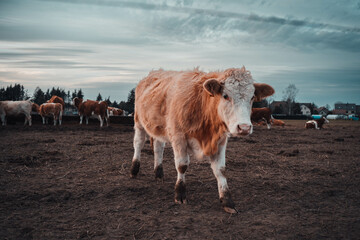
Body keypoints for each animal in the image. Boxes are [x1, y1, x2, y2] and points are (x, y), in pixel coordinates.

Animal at [131, 66, 274, 213]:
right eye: (225, 95)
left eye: (252, 97)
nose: (244, 127)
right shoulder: (178, 137)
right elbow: (182, 166)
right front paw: (180, 193)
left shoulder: (220, 141)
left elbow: (220, 170)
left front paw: (227, 200)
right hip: (139, 121)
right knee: (138, 144)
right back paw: (134, 169)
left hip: (158, 127)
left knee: (158, 148)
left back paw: (159, 174)